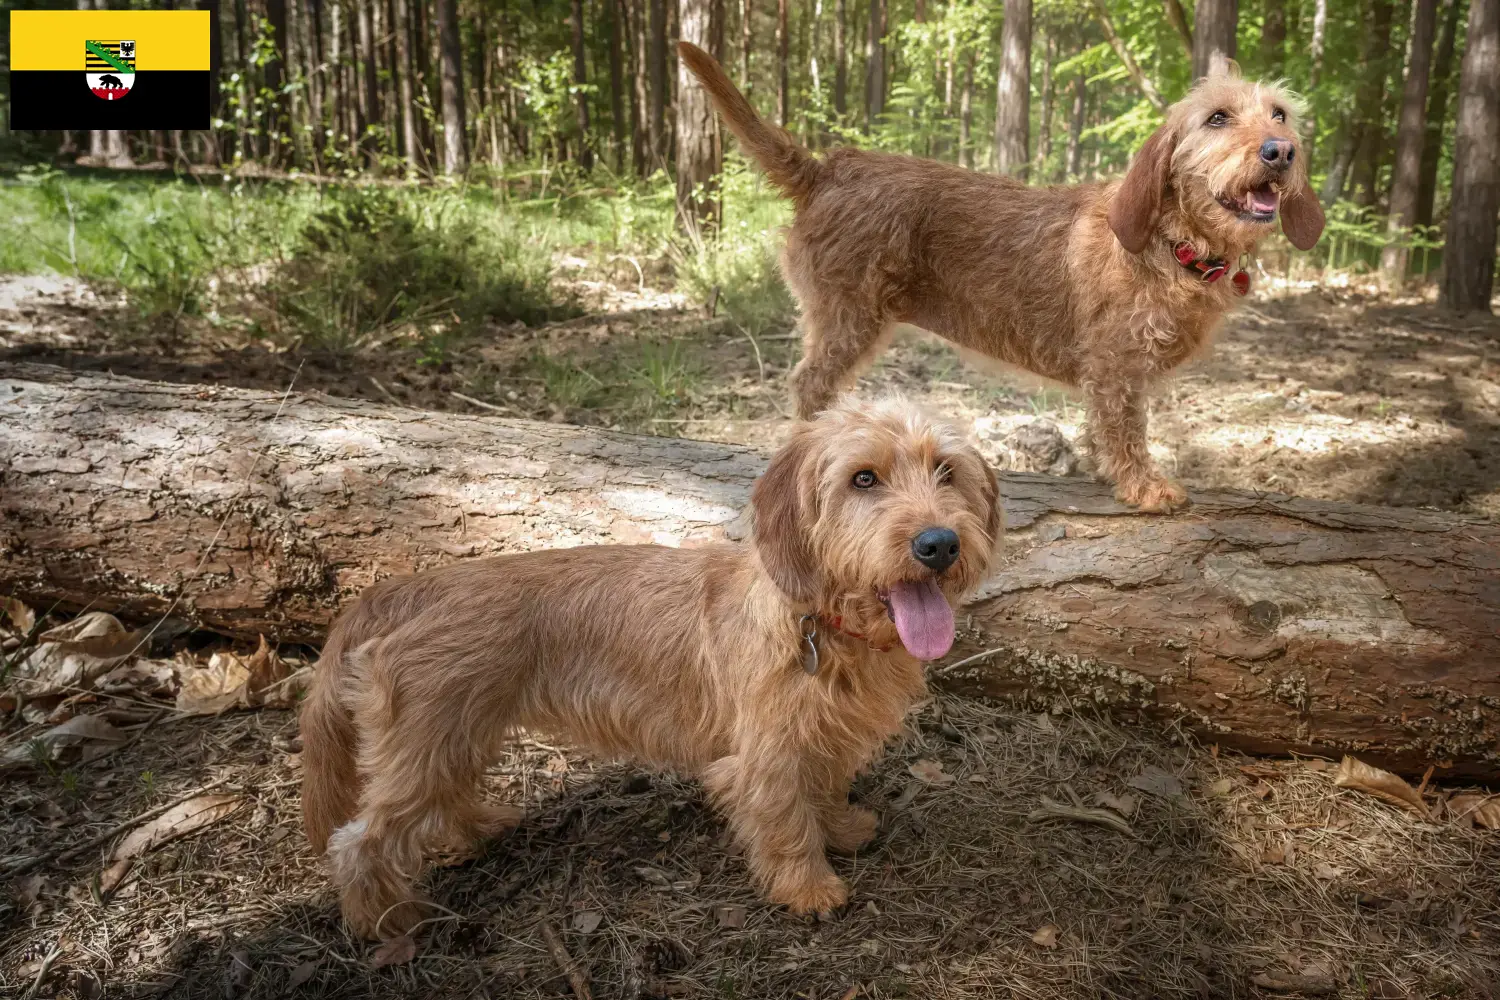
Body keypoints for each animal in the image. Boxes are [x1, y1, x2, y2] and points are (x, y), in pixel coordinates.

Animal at [298, 395, 1002, 941]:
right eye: (863, 479)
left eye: (946, 470)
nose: (939, 544)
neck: (824, 625)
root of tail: (408, 588)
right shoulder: (765, 759)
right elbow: (786, 821)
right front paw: (808, 888)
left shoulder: (824, 741)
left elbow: (824, 789)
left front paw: (843, 827)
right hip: (428, 743)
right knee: (356, 843)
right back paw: (388, 922)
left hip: (456, 736)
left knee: (440, 802)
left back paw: (481, 827)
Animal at [681, 44, 1326, 515]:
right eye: (1217, 118)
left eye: (1280, 113)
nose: (1280, 151)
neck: (1173, 244)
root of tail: (825, 170)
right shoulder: (1115, 368)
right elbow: (1126, 431)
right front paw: (1145, 486)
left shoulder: (1110, 377)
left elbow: (1102, 430)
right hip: (847, 319)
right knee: (808, 385)